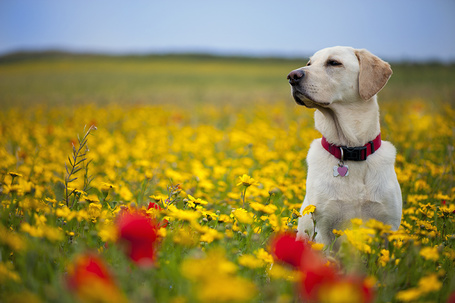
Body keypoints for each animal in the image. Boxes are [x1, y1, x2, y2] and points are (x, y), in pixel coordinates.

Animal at [288, 46, 402, 248]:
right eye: (309, 63)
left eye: (334, 63)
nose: (292, 76)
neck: (350, 150)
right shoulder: (323, 229)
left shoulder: (389, 227)